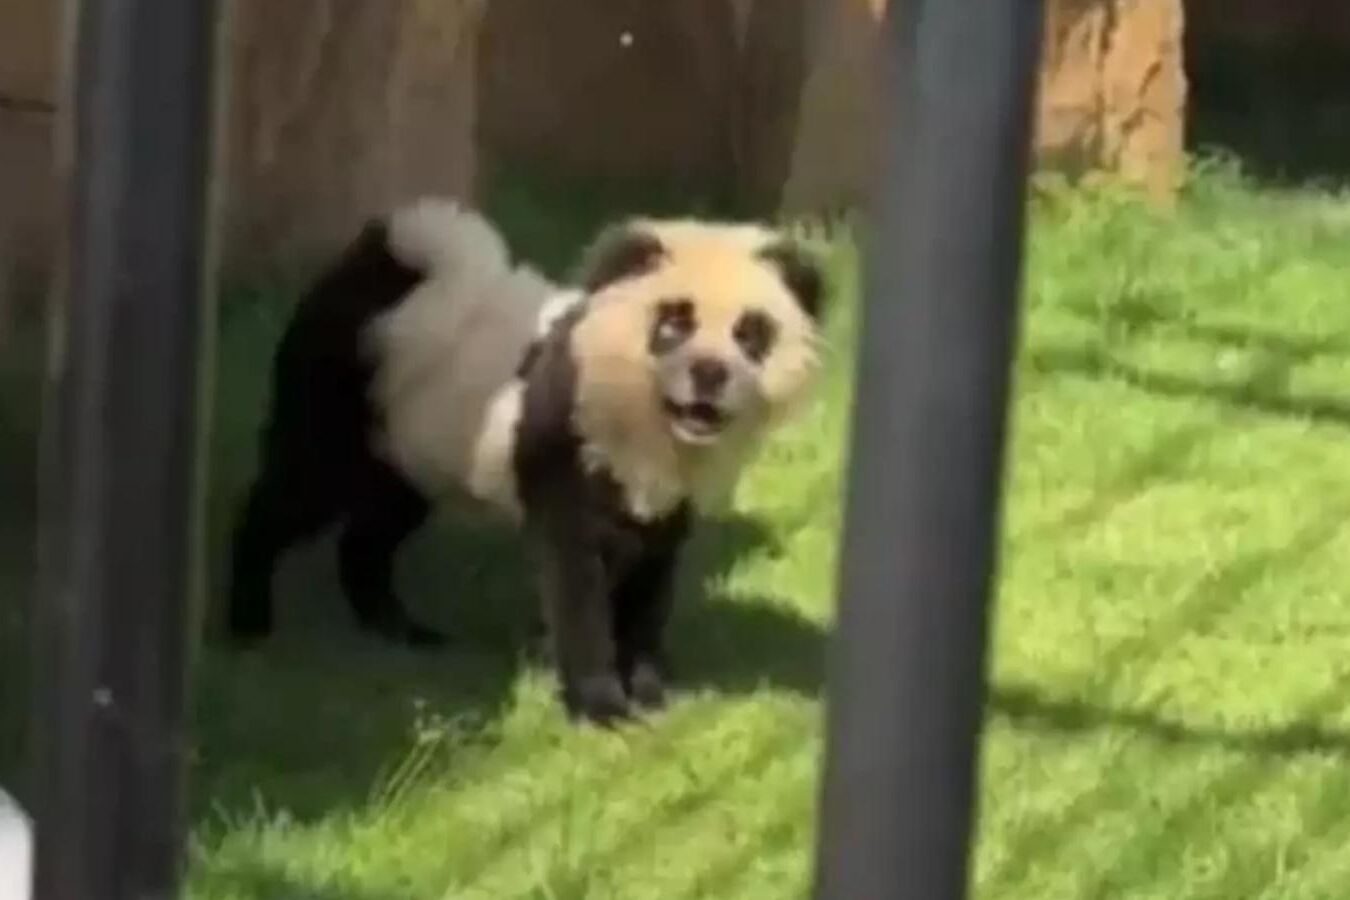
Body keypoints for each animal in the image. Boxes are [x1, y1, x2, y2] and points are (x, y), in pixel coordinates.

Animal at [227, 197, 827, 724]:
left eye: (751, 333)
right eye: (673, 323)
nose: (709, 374)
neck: (645, 422)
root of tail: (383, 258)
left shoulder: (664, 504)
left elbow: (650, 588)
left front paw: (652, 693)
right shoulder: (565, 450)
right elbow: (577, 584)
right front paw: (602, 709)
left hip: (410, 447)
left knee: (372, 532)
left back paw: (400, 629)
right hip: (335, 397)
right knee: (295, 493)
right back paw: (249, 620)